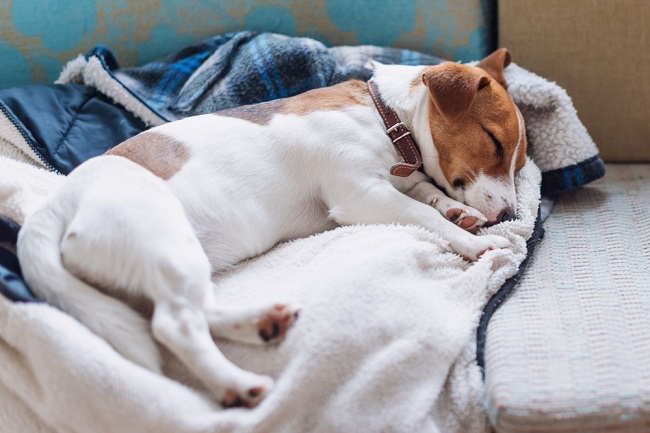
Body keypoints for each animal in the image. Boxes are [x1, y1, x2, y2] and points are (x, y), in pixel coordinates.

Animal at [16, 49, 528, 406]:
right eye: (494, 143)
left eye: (519, 162)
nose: (509, 215)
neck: (385, 118)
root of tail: (53, 205)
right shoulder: (361, 194)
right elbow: (424, 216)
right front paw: (474, 242)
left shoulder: (401, 183)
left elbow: (430, 197)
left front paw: (459, 213)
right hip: (165, 244)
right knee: (175, 324)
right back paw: (238, 383)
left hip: (176, 261)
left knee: (196, 311)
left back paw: (262, 324)